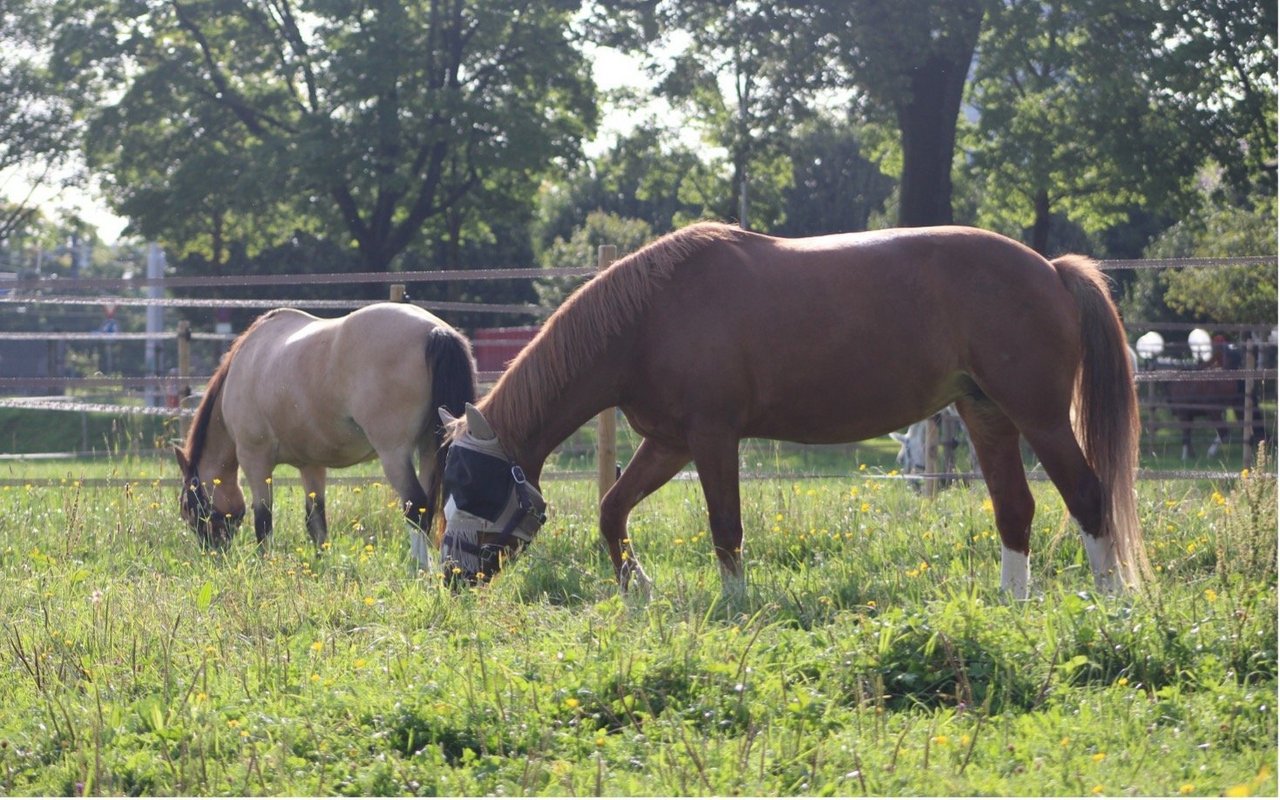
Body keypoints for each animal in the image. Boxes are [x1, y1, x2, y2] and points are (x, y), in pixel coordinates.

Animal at [177, 300, 478, 568]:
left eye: (190, 508)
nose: (213, 553)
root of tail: (434, 331)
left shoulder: (255, 460)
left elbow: (264, 521)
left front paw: (265, 564)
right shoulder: (311, 466)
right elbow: (316, 522)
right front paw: (321, 565)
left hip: (394, 454)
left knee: (415, 507)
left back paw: (419, 568)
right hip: (429, 448)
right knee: (429, 508)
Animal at [440, 221, 1152, 596]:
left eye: (468, 481)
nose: (450, 573)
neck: (649, 318)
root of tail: (1051, 269)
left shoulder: (712, 437)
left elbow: (725, 527)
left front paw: (733, 607)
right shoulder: (668, 443)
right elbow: (613, 508)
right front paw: (635, 588)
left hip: (1040, 417)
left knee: (1088, 497)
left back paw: (1110, 607)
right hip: (986, 415)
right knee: (1015, 510)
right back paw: (1012, 605)